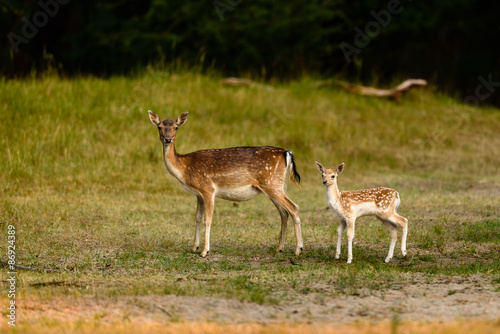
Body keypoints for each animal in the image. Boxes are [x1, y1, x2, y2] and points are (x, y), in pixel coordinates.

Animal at [148, 111, 302, 258]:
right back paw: (279, 248)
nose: (168, 139)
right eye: (159, 127)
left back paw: (298, 250)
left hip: (272, 184)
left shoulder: (208, 189)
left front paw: (204, 251)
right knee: (284, 213)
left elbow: (208, 219)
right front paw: (194, 247)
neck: (185, 169)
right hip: (273, 186)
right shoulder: (198, 194)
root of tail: (286, 153)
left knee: (294, 208)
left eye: (176, 127)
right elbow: (197, 217)